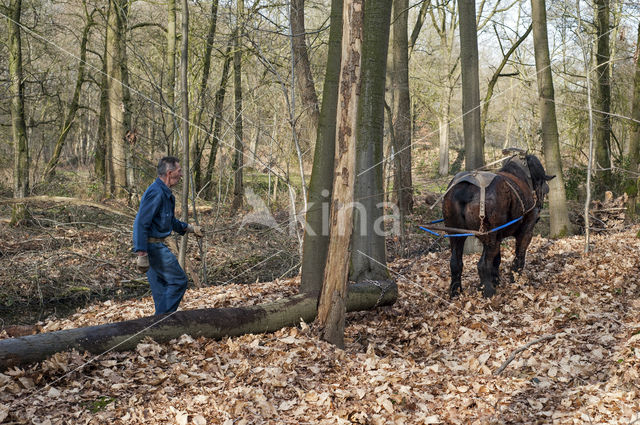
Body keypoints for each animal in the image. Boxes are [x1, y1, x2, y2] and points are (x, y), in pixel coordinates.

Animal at [442, 154, 552, 296]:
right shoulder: (526, 231)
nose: (539, 210)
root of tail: (465, 189)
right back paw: (488, 291)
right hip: (489, 237)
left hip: (456, 234)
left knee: (455, 262)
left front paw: (496, 280)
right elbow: (520, 255)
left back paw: (456, 291)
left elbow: (497, 259)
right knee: (482, 264)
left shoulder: (498, 237)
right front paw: (515, 278)